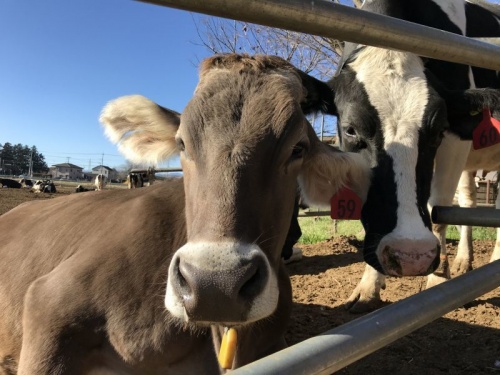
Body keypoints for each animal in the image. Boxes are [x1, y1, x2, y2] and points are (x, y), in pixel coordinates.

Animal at [326, 0, 500, 312]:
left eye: (438, 129)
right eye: (350, 129)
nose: (409, 256)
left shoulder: (457, 137)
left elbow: (438, 210)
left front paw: (437, 282)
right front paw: (368, 287)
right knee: (469, 201)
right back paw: (463, 262)